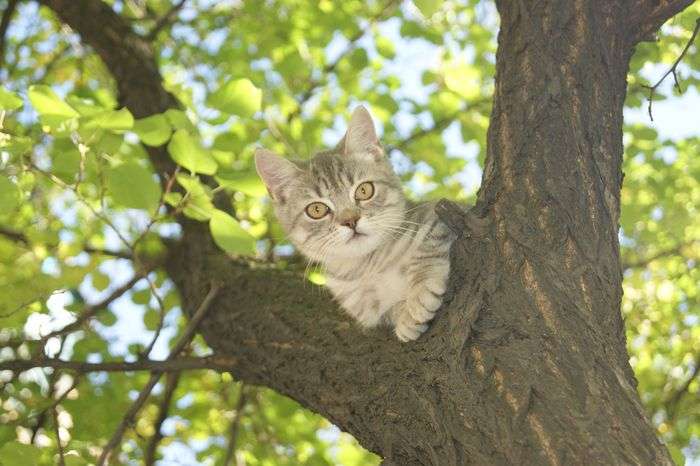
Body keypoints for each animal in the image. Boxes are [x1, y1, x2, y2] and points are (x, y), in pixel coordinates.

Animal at [256, 106, 454, 342]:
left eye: (364, 190)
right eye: (317, 210)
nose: (350, 220)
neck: (369, 267)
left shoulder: (436, 216)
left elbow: (430, 244)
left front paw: (419, 293)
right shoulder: (366, 310)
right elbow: (387, 312)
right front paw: (403, 315)